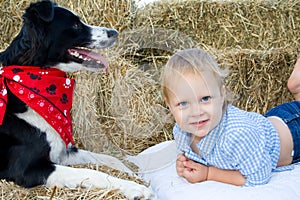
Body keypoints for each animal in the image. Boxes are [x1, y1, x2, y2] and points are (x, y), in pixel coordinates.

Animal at [0, 0, 152, 199]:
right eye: (75, 25)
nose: (114, 32)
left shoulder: (62, 151)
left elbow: (106, 158)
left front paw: (131, 173)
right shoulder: (26, 169)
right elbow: (91, 173)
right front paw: (134, 188)